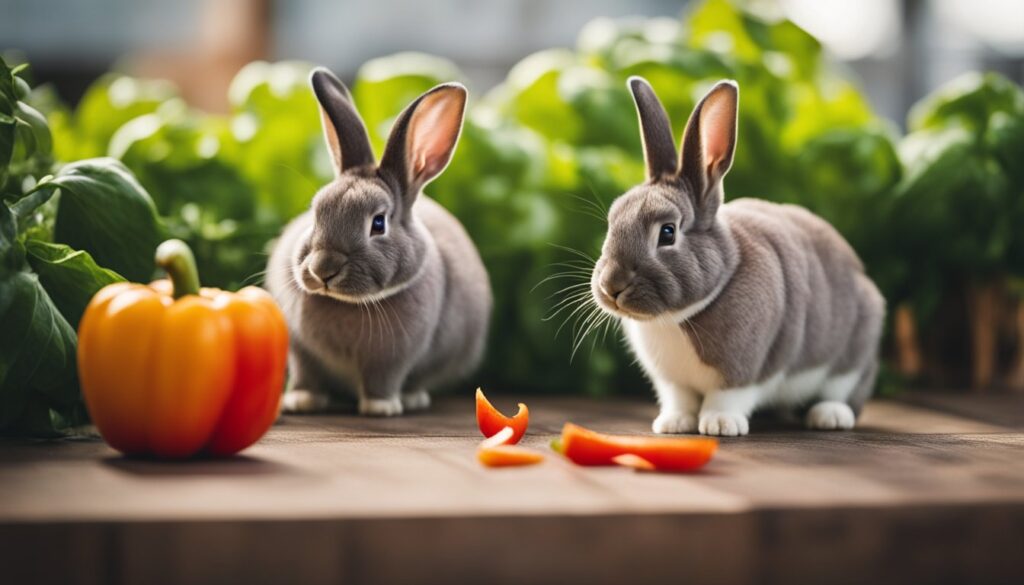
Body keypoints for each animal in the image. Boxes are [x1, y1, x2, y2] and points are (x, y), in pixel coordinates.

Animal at [266, 67, 492, 416]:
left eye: (378, 223)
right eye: (315, 212)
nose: (323, 269)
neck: (347, 304)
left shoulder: (394, 357)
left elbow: (383, 378)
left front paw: (381, 407)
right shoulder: (302, 351)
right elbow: (306, 374)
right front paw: (302, 401)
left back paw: (411, 399)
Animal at [590, 77, 885, 436]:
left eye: (668, 233)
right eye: (612, 220)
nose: (611, 286)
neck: (677, 317)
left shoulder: (744, 370)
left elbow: (728, 397)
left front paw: (719, 424)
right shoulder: (672, 381)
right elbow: (680, 399)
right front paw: (673, 424)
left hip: (852, 359)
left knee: (845, 393)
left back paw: (829, 416)